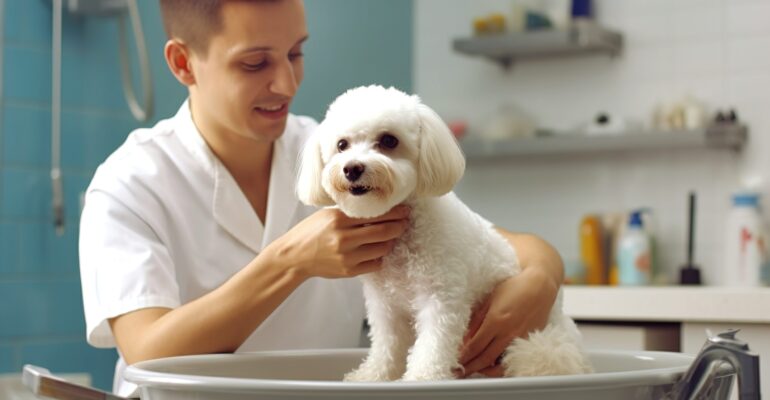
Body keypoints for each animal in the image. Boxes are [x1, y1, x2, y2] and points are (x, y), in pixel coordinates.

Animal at [294, 85, 588, 382]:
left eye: (389, 140)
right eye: (342, 145)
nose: (352, 168)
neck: (404, 241)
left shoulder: (441, 299)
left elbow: (432, 345)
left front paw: (422, 378)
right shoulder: (386, 306)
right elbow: (386, 344)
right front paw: (373, 375)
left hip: (539, 346)